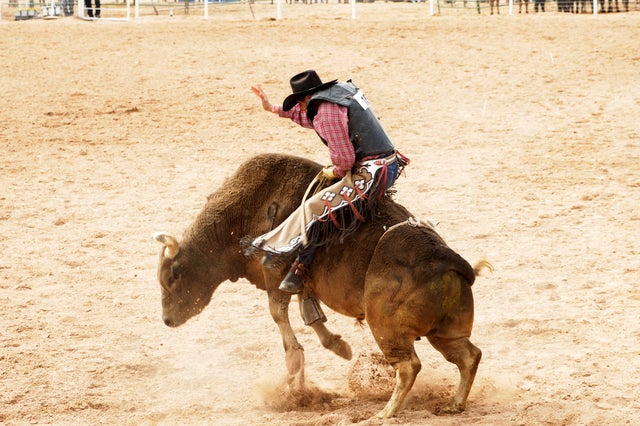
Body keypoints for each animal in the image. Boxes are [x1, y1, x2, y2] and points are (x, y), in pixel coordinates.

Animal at [154, 153, 489, 419]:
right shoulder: (301, 281)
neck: (244, 210)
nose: (167, 320)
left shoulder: (275, 270)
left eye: (171, 278)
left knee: (409, 367)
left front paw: (296, 364)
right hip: (445, 332)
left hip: (388, 329)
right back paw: (454, 404)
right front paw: (338, 345)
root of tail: (446, 260)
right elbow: (311, 313)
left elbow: (279, 312)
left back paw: (385, 413)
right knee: (469, 356)